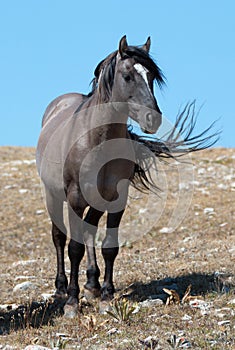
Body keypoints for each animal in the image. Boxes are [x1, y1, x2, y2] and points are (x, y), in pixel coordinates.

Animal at [35, 36, 218, 318]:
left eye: (151, 76)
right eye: (127, 76)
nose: (153, 119)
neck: (97, 140)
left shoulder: (117, 199)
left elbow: (110, 246)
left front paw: (106, 297)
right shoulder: (75, 198)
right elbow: (73, 248)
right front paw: (72, 303)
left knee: (89, 231)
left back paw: (92, 284)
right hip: (53, 196)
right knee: (59, 237)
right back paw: (61, 288)